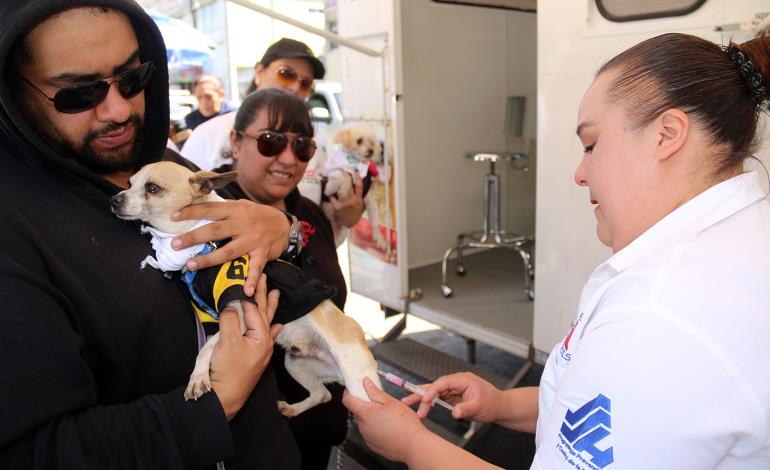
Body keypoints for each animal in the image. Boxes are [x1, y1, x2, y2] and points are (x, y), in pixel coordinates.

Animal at [109, 161, 380, 414]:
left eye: (152, 189)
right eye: (129, 183)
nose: (114, 199)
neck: (201, 244)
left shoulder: (237, 312)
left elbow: (205, 348)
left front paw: (198, 377)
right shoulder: (211, 319)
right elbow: (207, 342)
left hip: (359, 382)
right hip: (296, 364)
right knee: (323, 394)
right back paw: (292, 409)